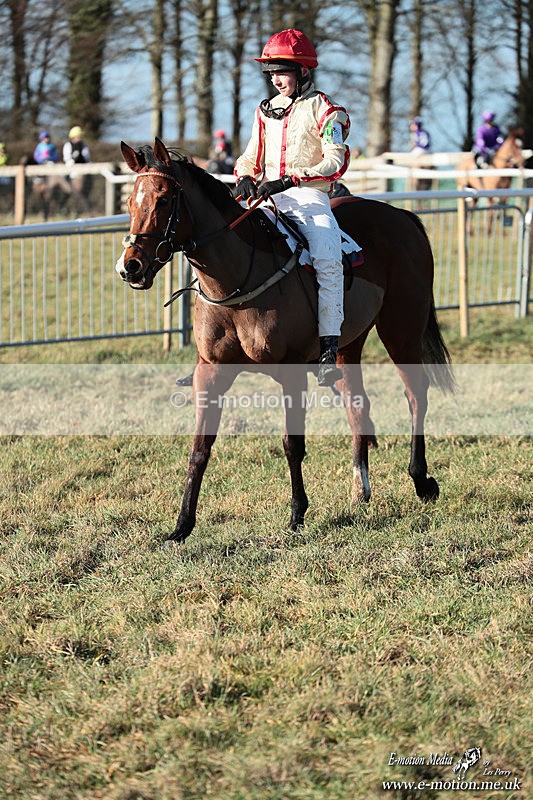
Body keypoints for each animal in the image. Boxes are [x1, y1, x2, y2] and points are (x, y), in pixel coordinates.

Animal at [116, 138, 455, 545]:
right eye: (130, 202)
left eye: (164, 199)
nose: (130, 266)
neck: (239, 280)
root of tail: (404, 217)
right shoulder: (210, 372)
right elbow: (199, 450)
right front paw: (181, 526)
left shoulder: (291, 372)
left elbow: (292, 444)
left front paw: (297, 514)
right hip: (347, 345)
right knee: (358, 404)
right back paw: (360, 488)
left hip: (401, 328)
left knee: (415, 394)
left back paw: (421, 479)